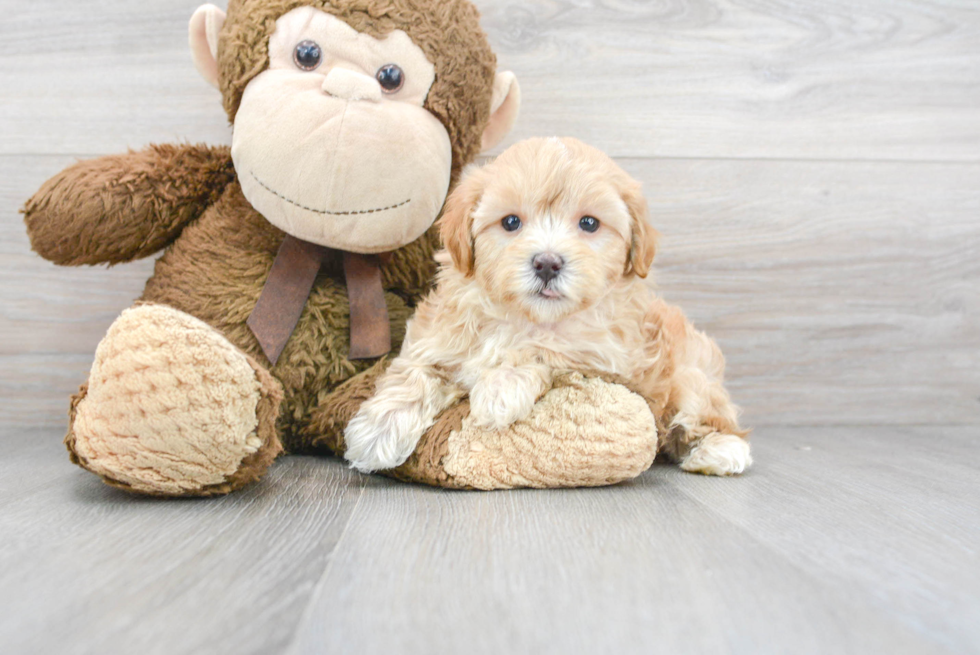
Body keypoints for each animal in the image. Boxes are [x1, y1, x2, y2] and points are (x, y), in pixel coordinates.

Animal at [344, 137, 752, 476]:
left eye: (589, 223)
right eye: (511, 222)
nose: (547, 263)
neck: (522, 318)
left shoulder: (603, 360)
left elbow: (544, 350)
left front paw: (500, 388)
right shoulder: (436, 338)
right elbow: (415, 373)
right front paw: (377, 431)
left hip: (691, 374)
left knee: (709, 413)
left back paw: (719, 450)